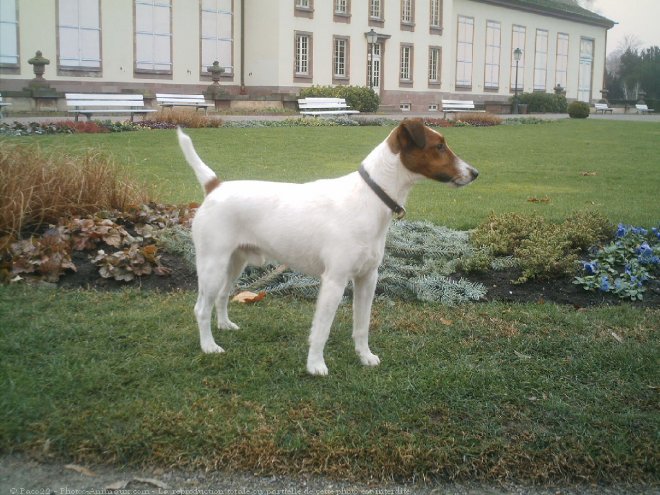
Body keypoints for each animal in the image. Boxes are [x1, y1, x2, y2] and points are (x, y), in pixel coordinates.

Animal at [178, 121, 476, 376]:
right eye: (440, 146)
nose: (475, 173)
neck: (370, 197)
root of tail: (214, 187)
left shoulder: (367, 278)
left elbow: (362, 325)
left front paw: (364, 356)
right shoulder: (334, 280)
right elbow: (322, 329)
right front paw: (315, 365)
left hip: (235, 263)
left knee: (222, 296)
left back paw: (225, 325)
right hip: (213, 265)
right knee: (201, 308)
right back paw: (209, 346)